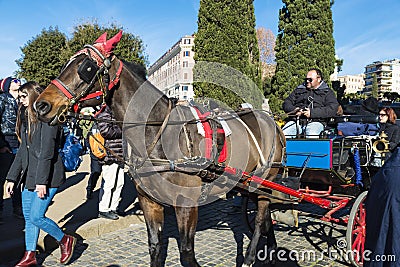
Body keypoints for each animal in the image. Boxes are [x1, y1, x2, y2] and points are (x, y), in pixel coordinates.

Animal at [33, 30, 284, 266]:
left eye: (86, 67)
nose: (41, 105)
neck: (159, 133)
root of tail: (272, 121)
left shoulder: (186, 204)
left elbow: (186, 253)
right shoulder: (149, 201)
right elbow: (154, 245)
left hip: (265, 181)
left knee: (261, 219)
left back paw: (251, 257)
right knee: (266, 218)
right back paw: (271, 250)